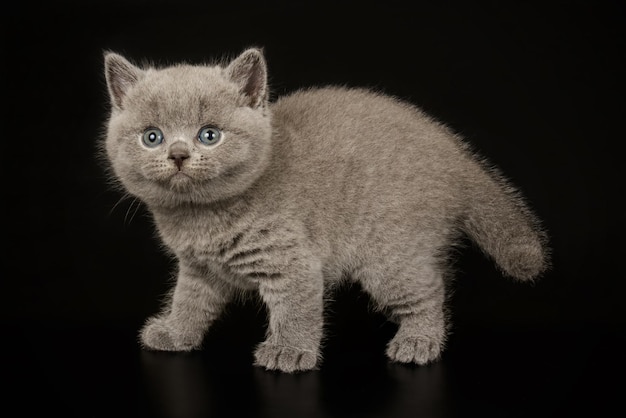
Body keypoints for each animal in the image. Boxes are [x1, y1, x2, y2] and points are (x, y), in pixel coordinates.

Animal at [101, 48, 544, 372]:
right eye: (152, 137)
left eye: (209, 135)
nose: (178, 154)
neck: (201, 218)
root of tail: (455, 153)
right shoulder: (199, 269)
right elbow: (189, 302)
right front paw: (175, 334)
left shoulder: (291, 261)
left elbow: (296, 309)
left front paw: (289, 352)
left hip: (389, 255)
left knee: (429, 289)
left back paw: (418, 341)